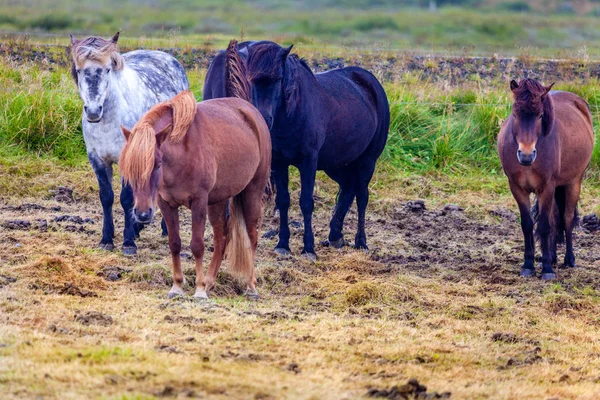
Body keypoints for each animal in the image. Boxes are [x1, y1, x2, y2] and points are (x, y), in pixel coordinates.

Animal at [70, 32, 189, 255]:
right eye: (79, 71)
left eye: (107, 69)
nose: (93, 111)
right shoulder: (97, 159)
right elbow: (106, 197)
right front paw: (107, 239)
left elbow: (126, 198)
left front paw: (128, 243)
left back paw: (164, 229)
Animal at [119, 83, 272, 300]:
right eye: (129, 169)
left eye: (157, 164)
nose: (142, 214)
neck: (182, 154)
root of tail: (252, 113)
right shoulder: (166, 203)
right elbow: (174, 243)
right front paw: (177, 287)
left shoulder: (199, 201)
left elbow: (197, 245)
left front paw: (199, 290)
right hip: (217, 200)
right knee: (221, 237)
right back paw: (210, 281)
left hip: (252, 192)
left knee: (252, 236)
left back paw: (250, 286)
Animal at [204, 40, 390, 260]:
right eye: (251, 79)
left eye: (278, 78)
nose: (264, 118)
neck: (292, 114)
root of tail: (370, 82)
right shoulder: (279, 162)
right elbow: (284, 200)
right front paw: (283, 244)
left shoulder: (308, 161)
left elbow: (306, 202)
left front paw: (308, 248)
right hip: (336, 163)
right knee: (348, 187)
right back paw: (335, 235)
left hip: (367, 161)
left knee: (361, 196)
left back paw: (361, 242)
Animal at [496, 78, 596, 282]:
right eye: (515, 114)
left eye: (540, 115)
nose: (526, 155)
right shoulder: (517, 188)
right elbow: (527, 225)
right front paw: (528, 265)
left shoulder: (547, 188)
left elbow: (543, 226)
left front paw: (547, 270)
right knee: (555, 219)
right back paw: (552, 257)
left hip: (573, 182)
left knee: (566, 219)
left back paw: (568, 259)